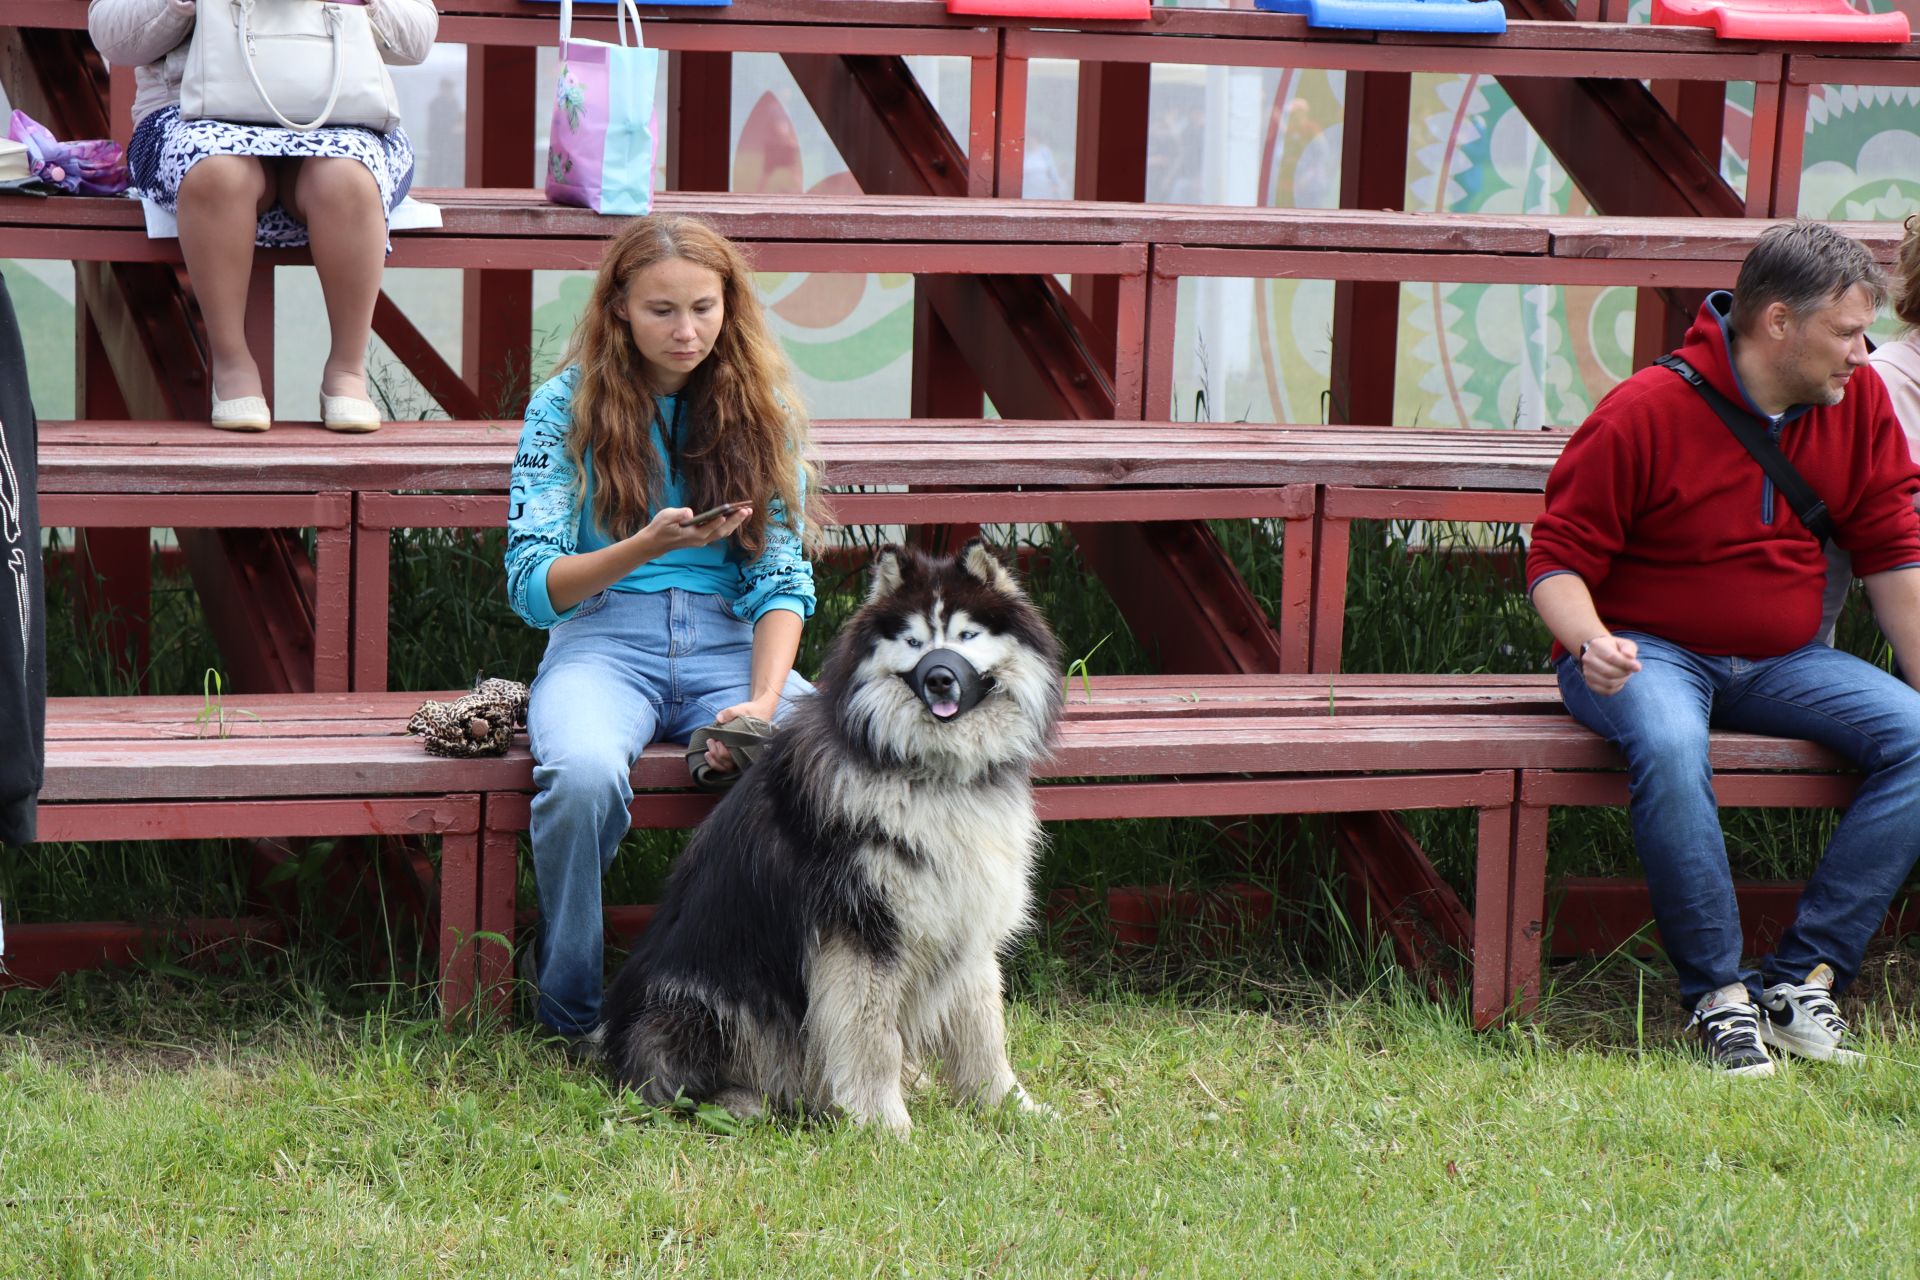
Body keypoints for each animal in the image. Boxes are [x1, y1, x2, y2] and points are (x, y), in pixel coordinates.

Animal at [602, 541, 1067, 1128]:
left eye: (966, 635)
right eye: (913, 641)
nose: (940, 678)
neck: (928, 771)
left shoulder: (965, 917)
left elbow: (984, 1032)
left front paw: (1010, 1106)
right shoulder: (860, 932)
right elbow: (873, 1038)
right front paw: (884, 1125)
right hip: (699, 1002)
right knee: (680, 1081)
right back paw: (744, 1102)